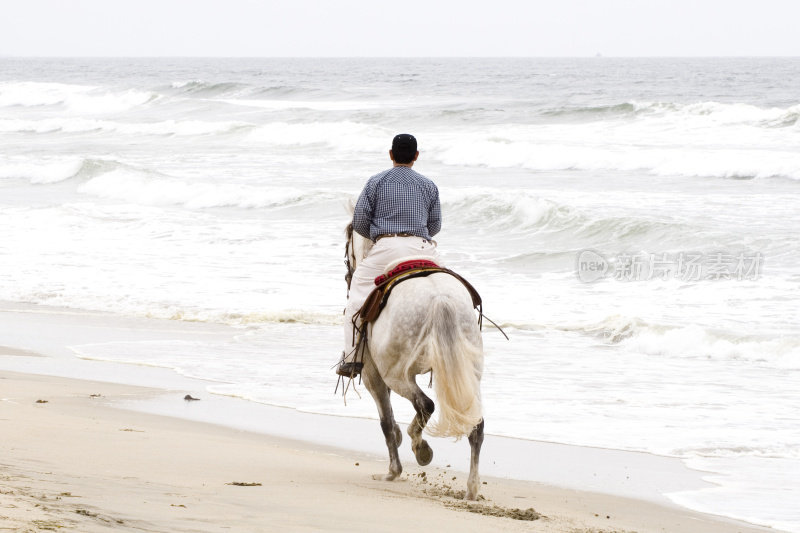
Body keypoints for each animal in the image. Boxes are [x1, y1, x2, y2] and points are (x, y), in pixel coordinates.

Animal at [346, 216, 488, 498]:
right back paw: (471, 489)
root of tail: (439, 298)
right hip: (469, 372)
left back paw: (419, 448)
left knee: (426, 404)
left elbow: (386, 422)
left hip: (396, 374)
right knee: (475, 425)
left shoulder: (372, 374)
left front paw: (393, 471)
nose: (348, 273)